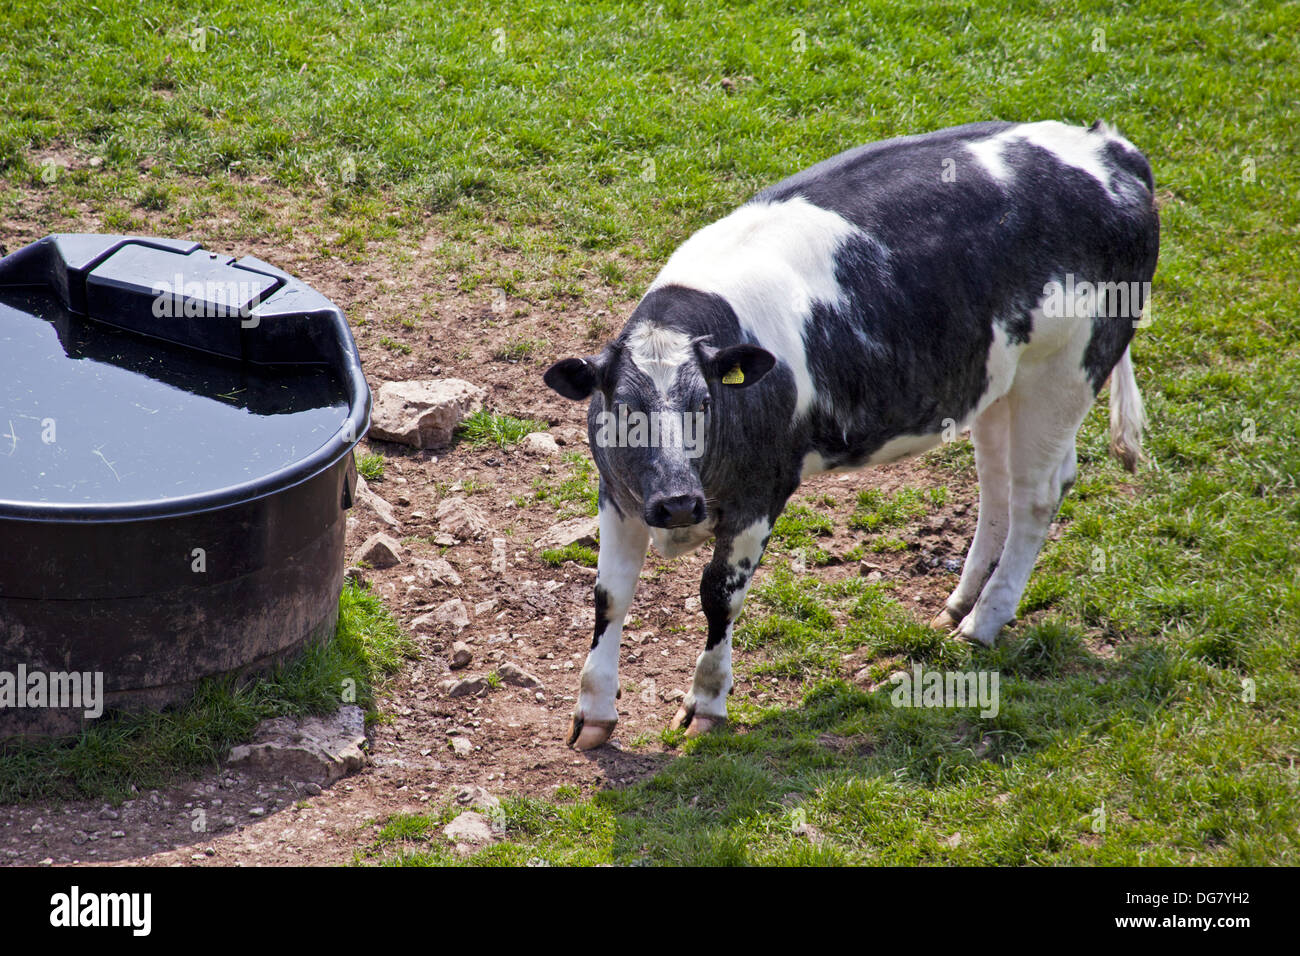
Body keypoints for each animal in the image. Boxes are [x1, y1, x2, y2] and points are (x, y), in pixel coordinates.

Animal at [538, 117, 1159, 749]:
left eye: (705, 402)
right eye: (622, 408)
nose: (679, 502)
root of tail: (1108, 147)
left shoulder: (762, 492)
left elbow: (719, 595)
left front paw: (706, 702)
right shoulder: (619, 493)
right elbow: (609, 594)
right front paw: (594, 711)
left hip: (1066, 370)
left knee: (1036, 495)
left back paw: (983, 622)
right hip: (996, 381)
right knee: (999, 487)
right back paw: (959, 605)